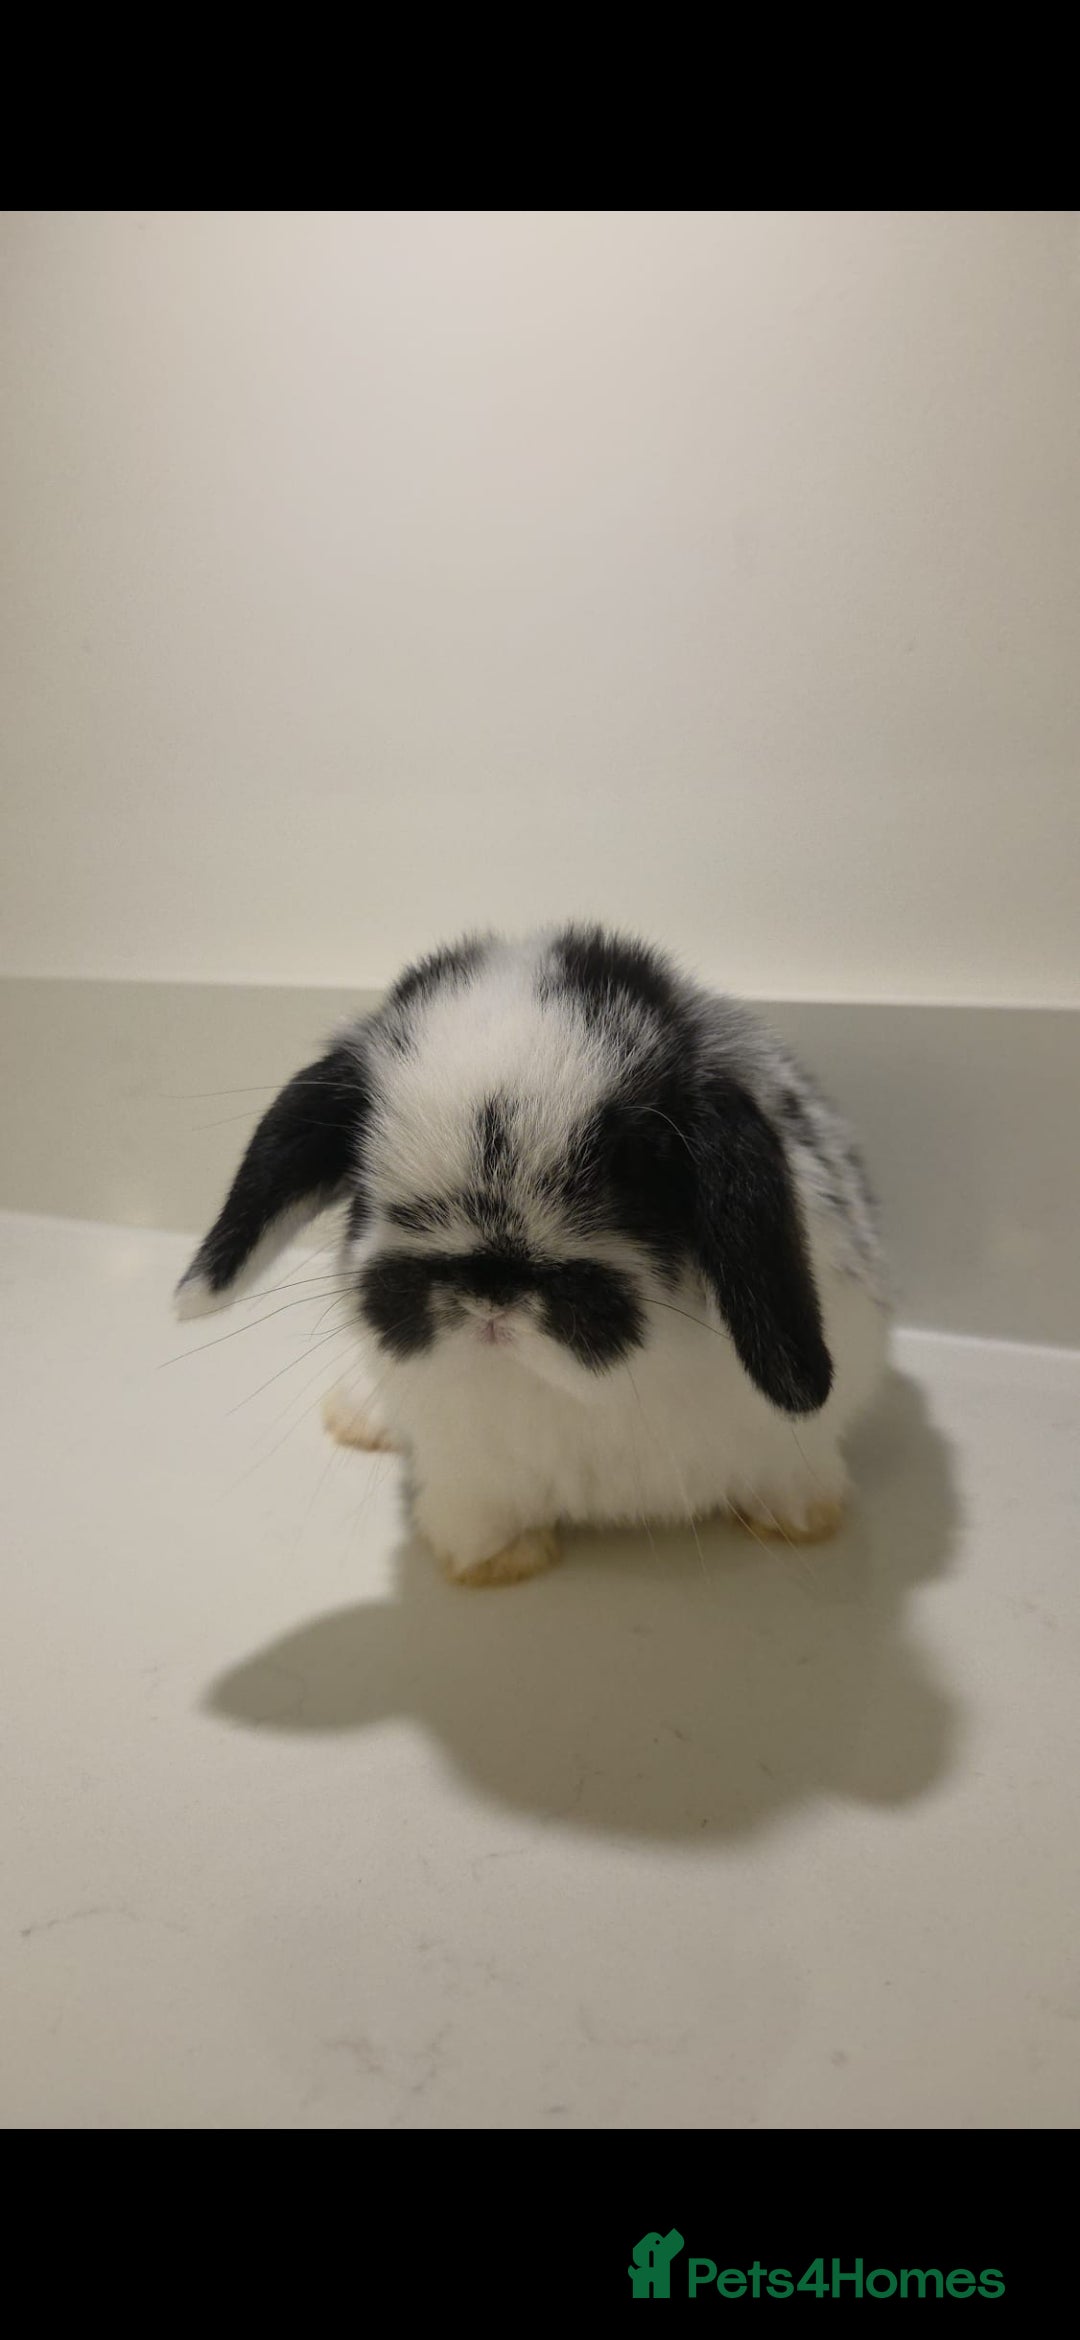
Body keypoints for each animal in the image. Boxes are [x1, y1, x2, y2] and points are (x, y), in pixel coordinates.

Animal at [176, 925, 889, 1585]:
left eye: (642, 1166)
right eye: (365, 1181)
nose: (490, 1290)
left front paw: (801, 1520)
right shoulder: (468, 1468)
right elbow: (479, 1514)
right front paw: (499, 1562)